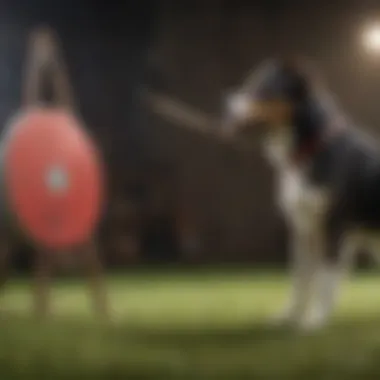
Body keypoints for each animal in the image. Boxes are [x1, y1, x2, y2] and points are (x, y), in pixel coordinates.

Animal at [224, 58, 380, 332]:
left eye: (262, 88)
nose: (227, 103)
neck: (310, 149)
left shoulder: (333, 224)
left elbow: (324, 277)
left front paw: (314, 320)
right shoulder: (302, 226)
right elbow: (301, 277)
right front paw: (290, 316)